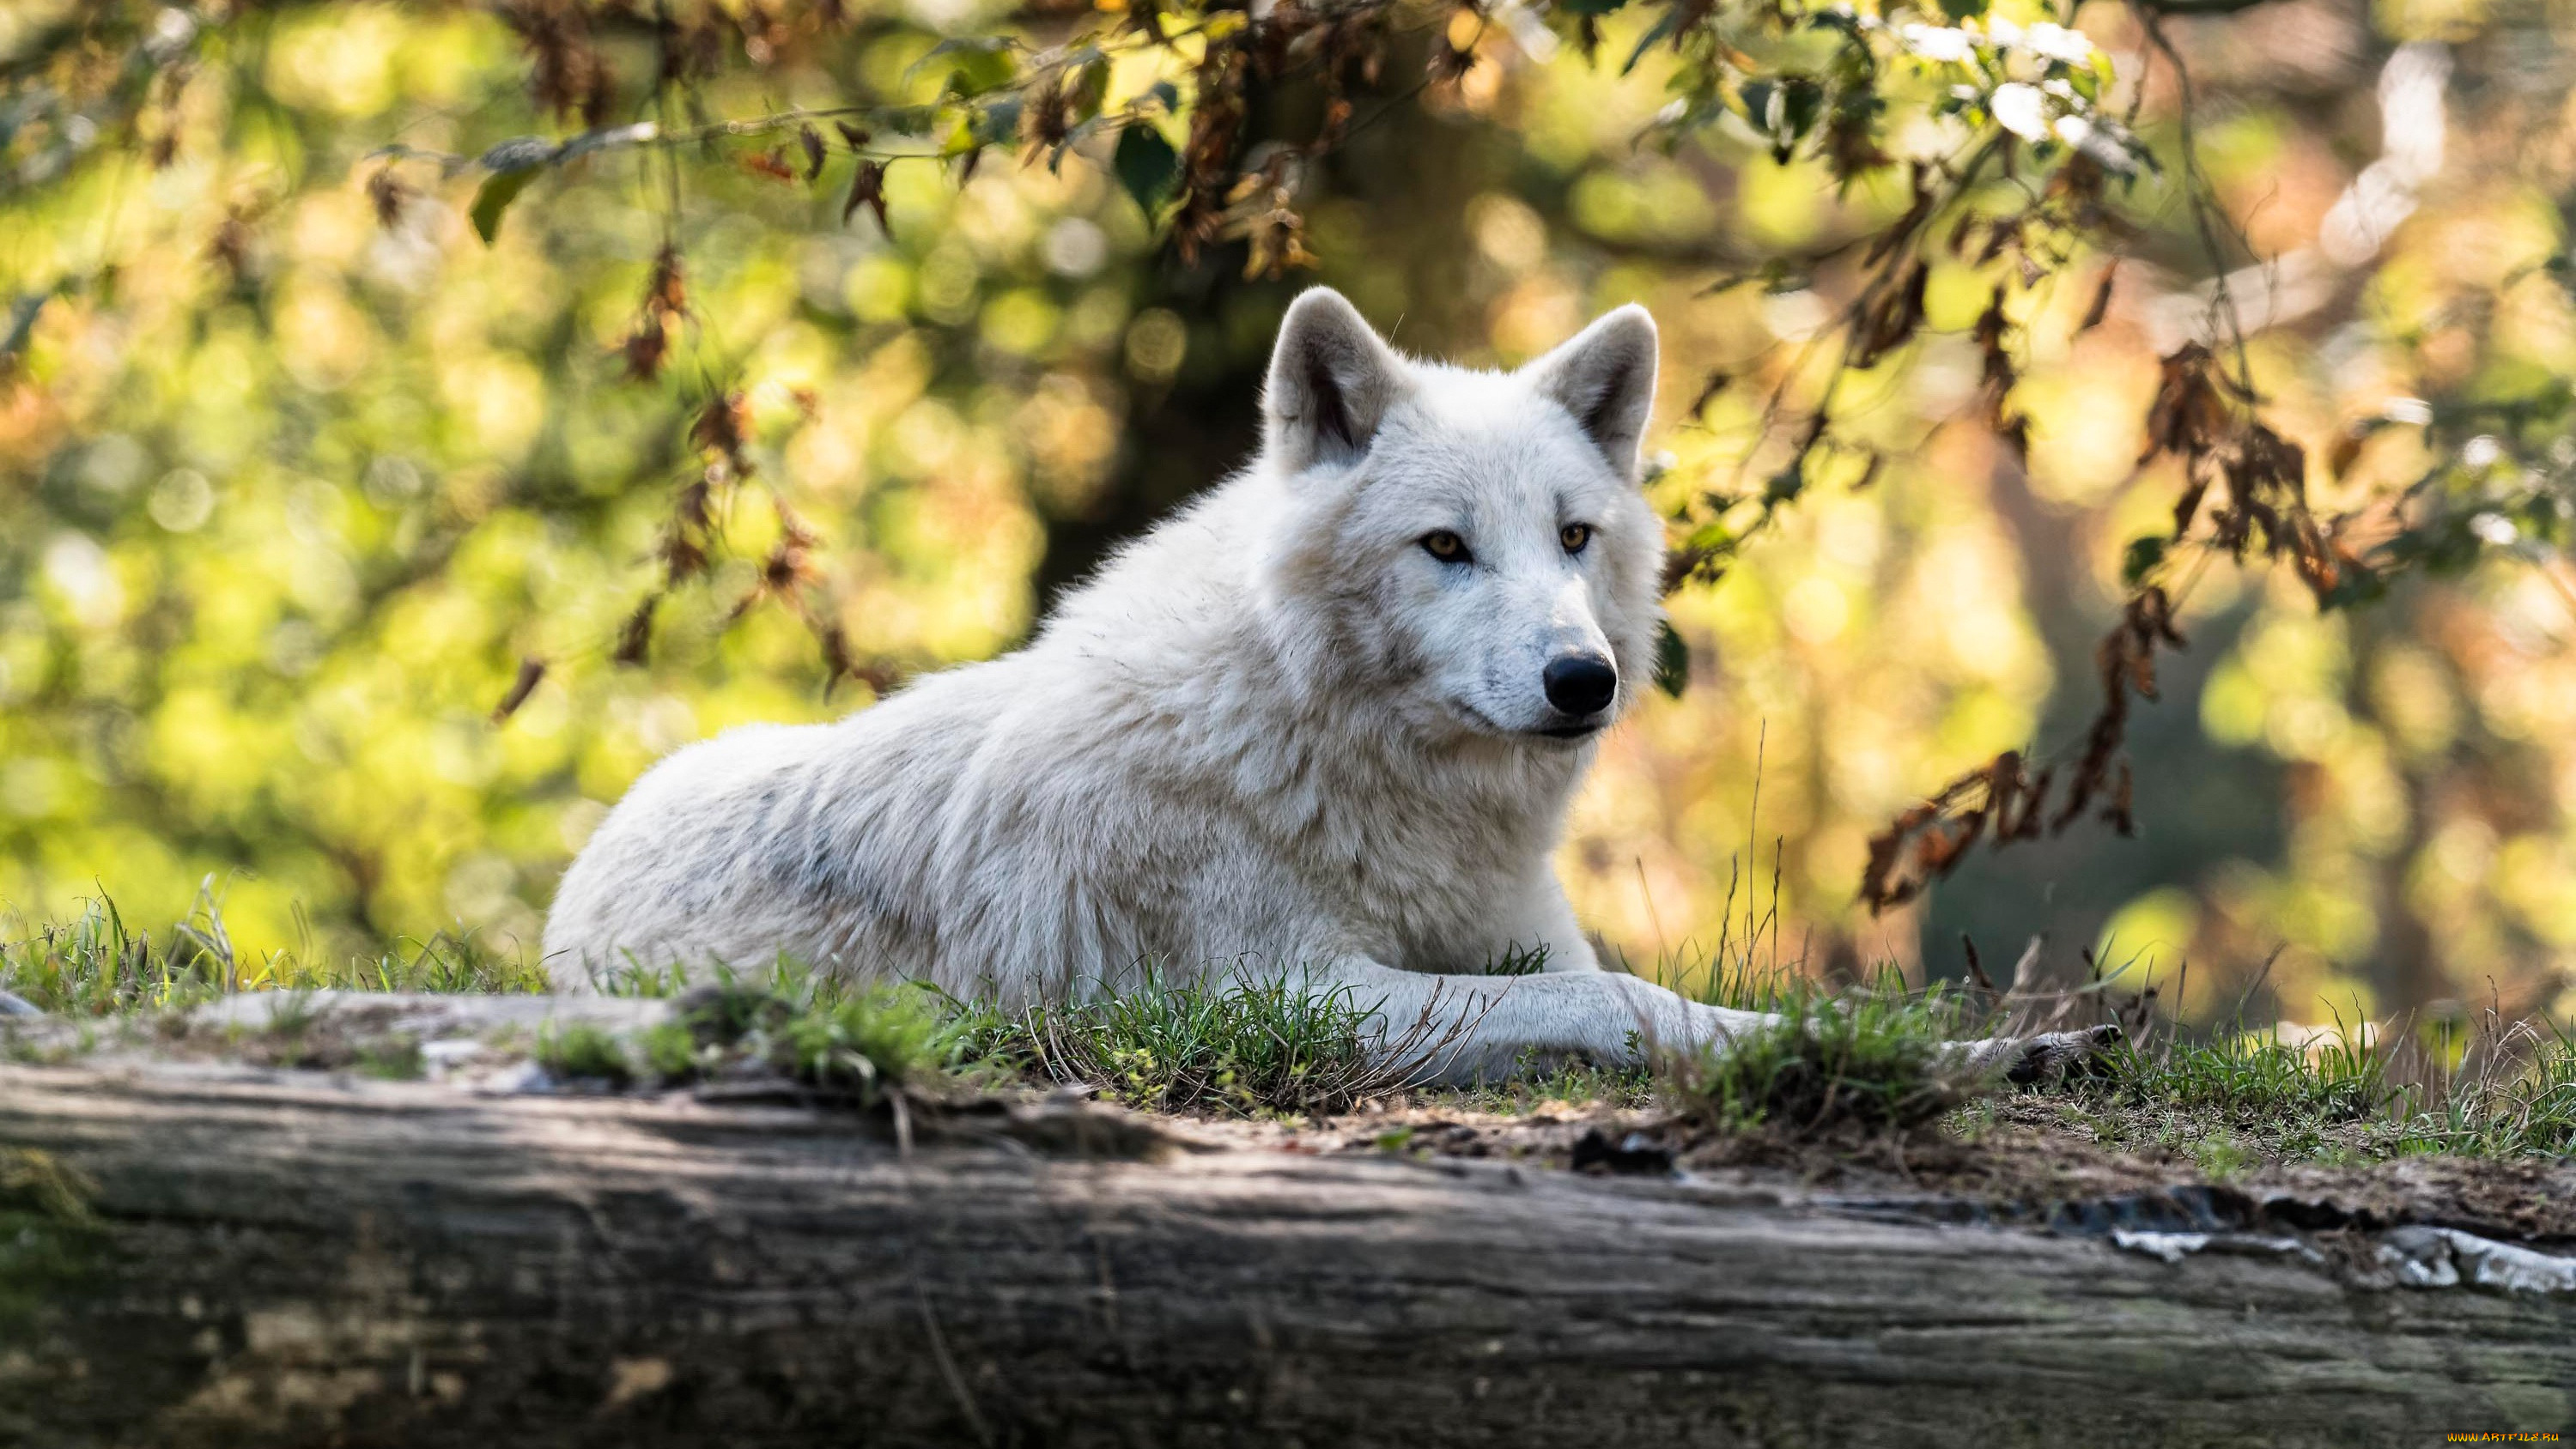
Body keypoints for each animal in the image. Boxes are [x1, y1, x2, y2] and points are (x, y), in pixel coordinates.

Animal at [549, 289, 2112, 1081]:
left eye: (1573, 536)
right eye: (1445, 546)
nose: (1583, 679)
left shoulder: (1520, 941)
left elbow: (1665, 995)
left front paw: (1983, 1045)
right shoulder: (1289, 993)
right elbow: (1628, 1006)